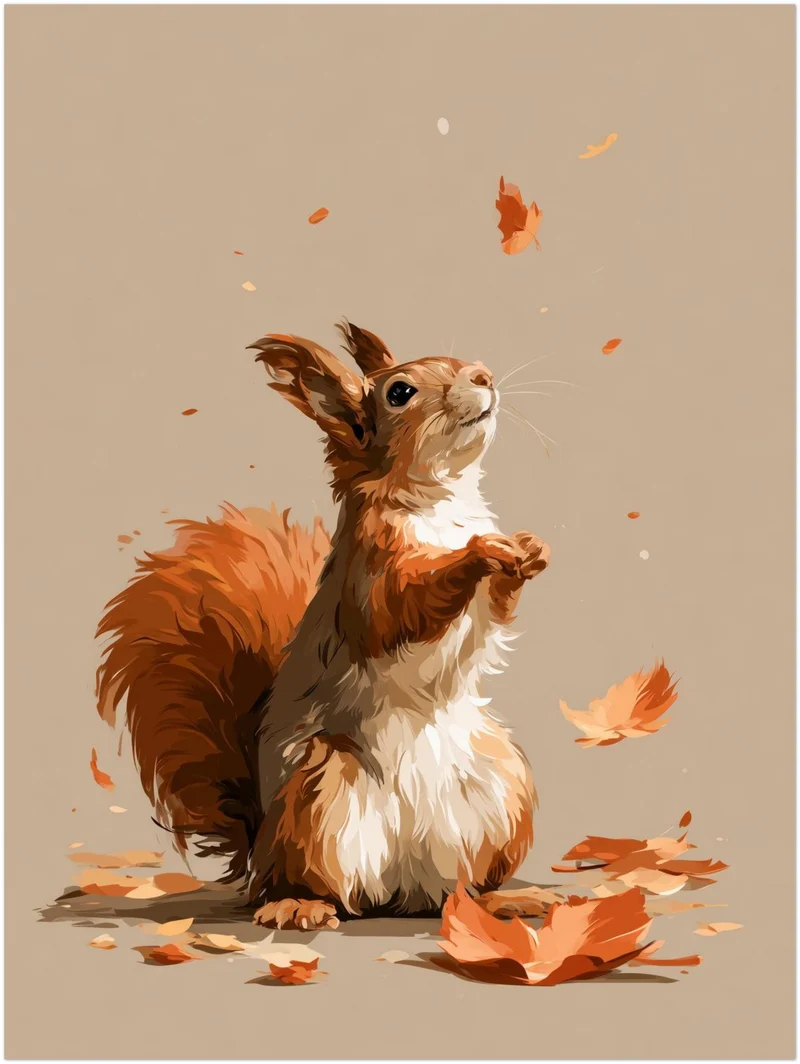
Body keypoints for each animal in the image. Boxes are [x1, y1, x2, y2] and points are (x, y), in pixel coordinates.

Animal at [96, 321, 550, 931]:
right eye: (399, 392)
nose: (483, 375)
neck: (442, 501)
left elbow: (498, 608)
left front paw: (529, 548)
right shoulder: (369, 575)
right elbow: (403, 605)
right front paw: (480, 552)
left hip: (502, 792)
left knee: (460, 890)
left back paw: (501, 900)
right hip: (316, 799)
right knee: (313, 885)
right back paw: (298, 906)